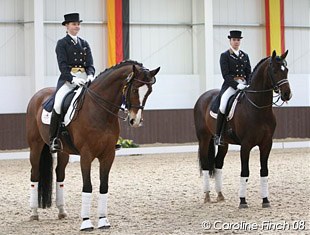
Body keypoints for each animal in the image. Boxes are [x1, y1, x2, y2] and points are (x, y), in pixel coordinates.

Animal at [26, 59, 160, 230]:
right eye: (135, 89)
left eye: (149, 91)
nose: (135, 121)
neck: (100, 111)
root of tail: (38, 94)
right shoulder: (86, 155)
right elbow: (87, 186)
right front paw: (86, 222)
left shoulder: (108, 155)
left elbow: (104, 186)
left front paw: (103, 221)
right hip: (35, 146)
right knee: (35, 174)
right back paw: (34, 213)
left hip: (63, 151)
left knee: (60, 174)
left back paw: (62, 211)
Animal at [195, 50, 292, 208]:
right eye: (275, 71)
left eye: (287, 70)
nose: (287, 94)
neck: (259, 108)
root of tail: (203, 96)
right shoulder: (246, 145)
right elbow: (245, 172)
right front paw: (242, 201)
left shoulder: (266, 144)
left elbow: (264, 171)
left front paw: (265, 200)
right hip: (204, 138)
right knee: (205, 164)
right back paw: (207, 196)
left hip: (223, 143)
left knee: (218, 163)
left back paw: (220, 195)